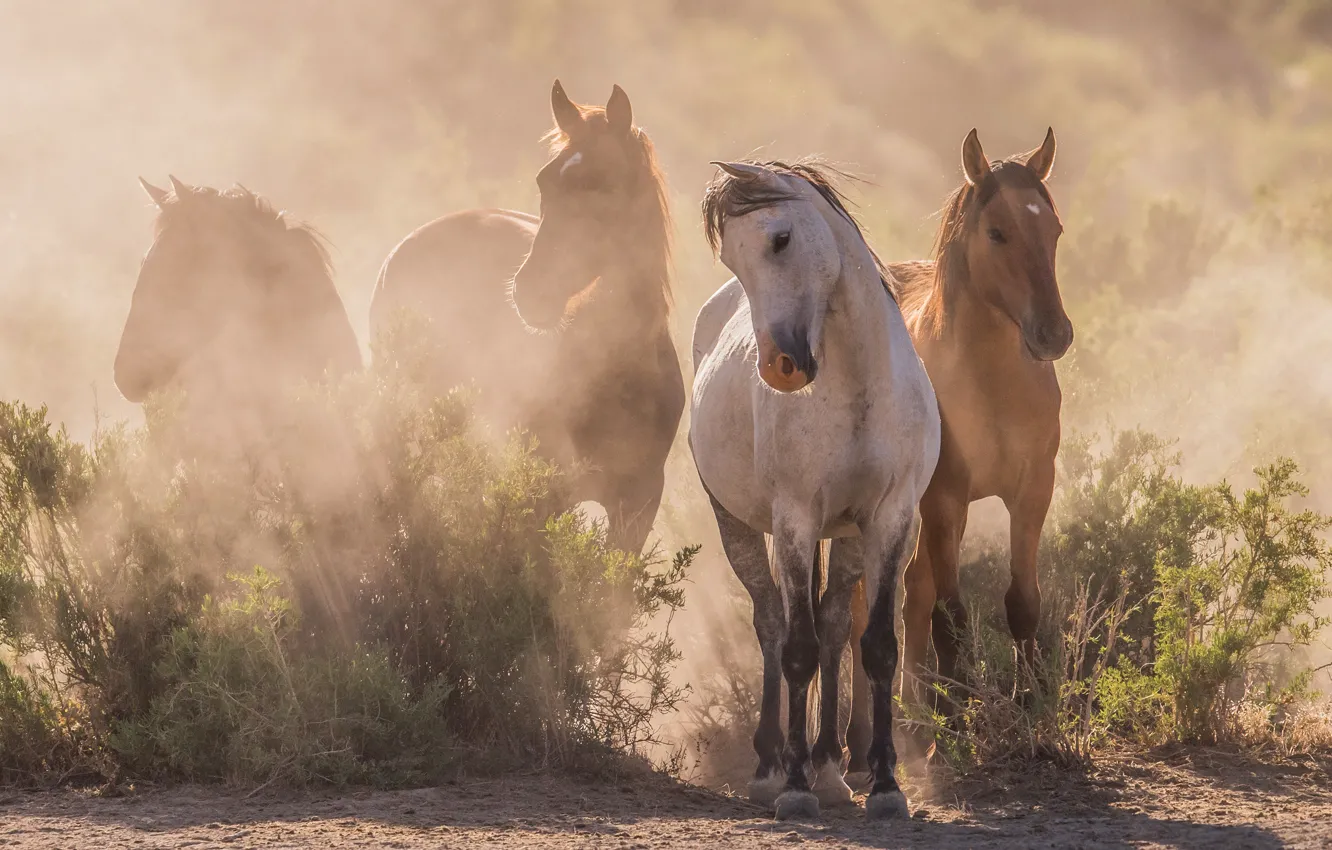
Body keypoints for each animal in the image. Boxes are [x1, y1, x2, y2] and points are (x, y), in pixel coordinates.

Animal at [691, 160, 940, 821]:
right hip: (742, 528)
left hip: (848, 536)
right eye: (732, 260)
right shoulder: (796, 521)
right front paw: (795, 787)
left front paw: (885, 786)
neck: (857, 384)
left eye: (780, 239)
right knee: (773, 623)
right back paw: (771, 768)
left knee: (831, 627)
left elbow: (875, 646)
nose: (779, 367)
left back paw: (831, 769)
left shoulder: (891, 520)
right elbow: (796, 647)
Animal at [843, 128, 1072, 770]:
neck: (992, 382)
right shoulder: (946, 498)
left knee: (911, 591)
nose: (1054, 334)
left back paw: (911, 711)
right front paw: (956, 712)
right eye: (996, 231)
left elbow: (1021, 600)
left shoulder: (1031, 491)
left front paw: (1030, 704)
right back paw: (863, 740)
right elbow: (951, 612)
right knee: (865, 608)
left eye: (1054, 229)